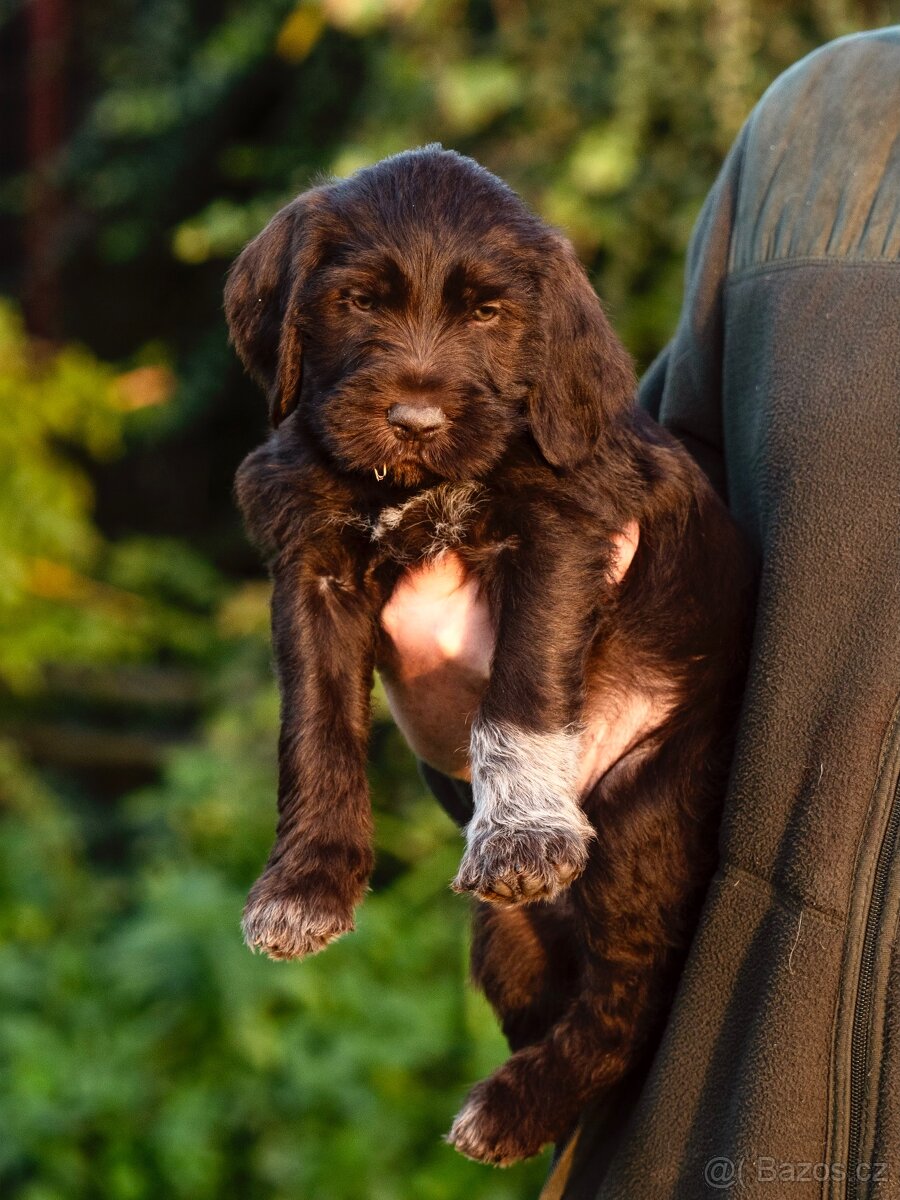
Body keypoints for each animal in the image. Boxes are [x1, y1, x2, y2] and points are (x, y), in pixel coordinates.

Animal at [225, 145, 753, 1166]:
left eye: (490, 314)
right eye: (358, 301)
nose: (415, 418)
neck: (415, 485)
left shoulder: (561, 529)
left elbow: (522, 688)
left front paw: (520, 831)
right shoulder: (311, 565)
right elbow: (314, 726)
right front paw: (306, 881)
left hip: (645, 811)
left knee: (629, 1000)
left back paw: (513, 1106)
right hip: (503, 935)